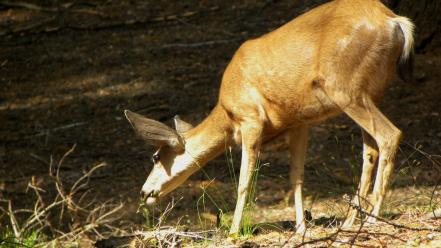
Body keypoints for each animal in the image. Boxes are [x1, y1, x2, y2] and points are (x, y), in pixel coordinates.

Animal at [123, 0, 412, 236]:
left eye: (155, 156)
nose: (144, 192)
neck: (227, 115)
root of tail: (394, 21)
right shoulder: (299, 123)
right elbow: (296, 177)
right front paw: (301, 227)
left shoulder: (251, 119)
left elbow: (244, 182)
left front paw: (233, 232)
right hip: (371, 91)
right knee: (370, 149)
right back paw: (351, 221)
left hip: (345, 88)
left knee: (390, 134)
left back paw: (373, 219)